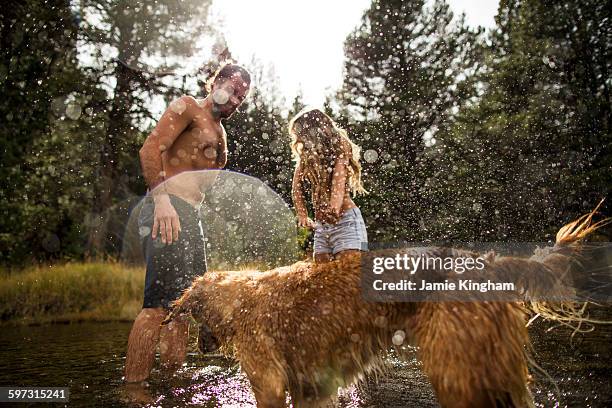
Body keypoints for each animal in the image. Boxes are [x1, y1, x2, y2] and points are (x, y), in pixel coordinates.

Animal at [164, 209, 608, 406]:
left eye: (194, 318)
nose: (201, 346)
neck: (242, 296)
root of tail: (488, 262)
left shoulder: (269, 383)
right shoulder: (313, 389)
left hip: (454, 369)